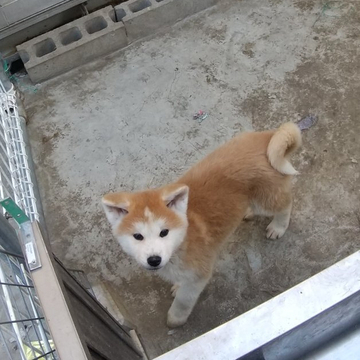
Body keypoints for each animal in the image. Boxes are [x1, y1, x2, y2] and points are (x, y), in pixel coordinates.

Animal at [101, 122, 300, 328]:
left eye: (164, 232)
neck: (183, 241)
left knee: (286, 203)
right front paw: (177, 286)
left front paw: (176, 318)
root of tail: (267, 136)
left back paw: (278, 226)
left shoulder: (198, 276)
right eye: (137, 236)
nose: (154, 259)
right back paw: (250, 212)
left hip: (267, 197)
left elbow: (183, 300)